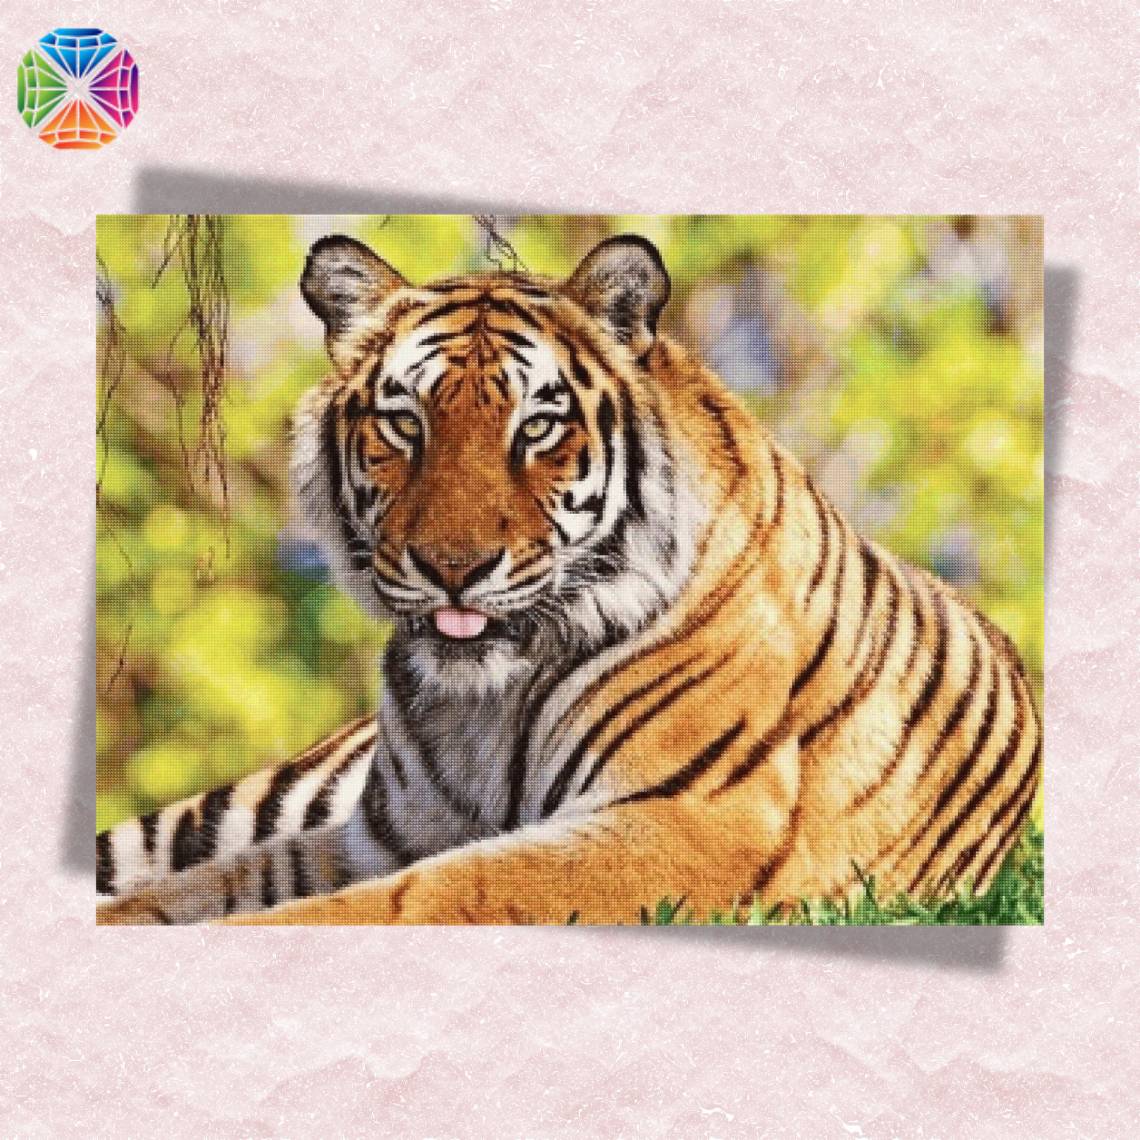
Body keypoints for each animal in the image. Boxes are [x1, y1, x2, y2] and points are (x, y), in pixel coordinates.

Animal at [96, 232, 1042, 925]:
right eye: (405, 424)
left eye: (538, 427)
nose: (453, 569)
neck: (478, 705)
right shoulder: (378, 834)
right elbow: (190, 890)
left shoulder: (687, 821)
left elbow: (419, 897)